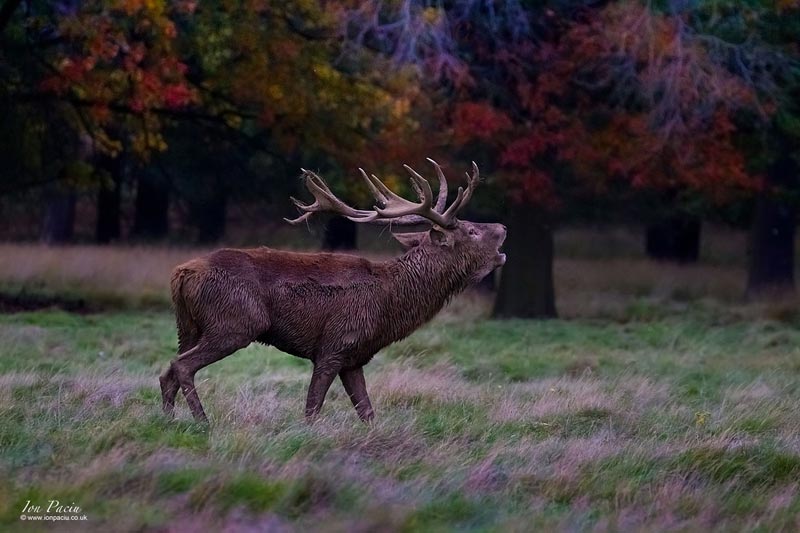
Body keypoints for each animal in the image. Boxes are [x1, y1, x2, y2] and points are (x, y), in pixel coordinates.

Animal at [158, 159, 506, 424]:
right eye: (471, 231)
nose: (503, 227)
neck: (388, 308)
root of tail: (181, 273)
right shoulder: (334, 344)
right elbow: (312, 410)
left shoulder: (355, 357)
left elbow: (368, 413)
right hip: (235, 322)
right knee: (181, 365)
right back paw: (203, 422)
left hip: (187, 326)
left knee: (168, 371)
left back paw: (168, 420)